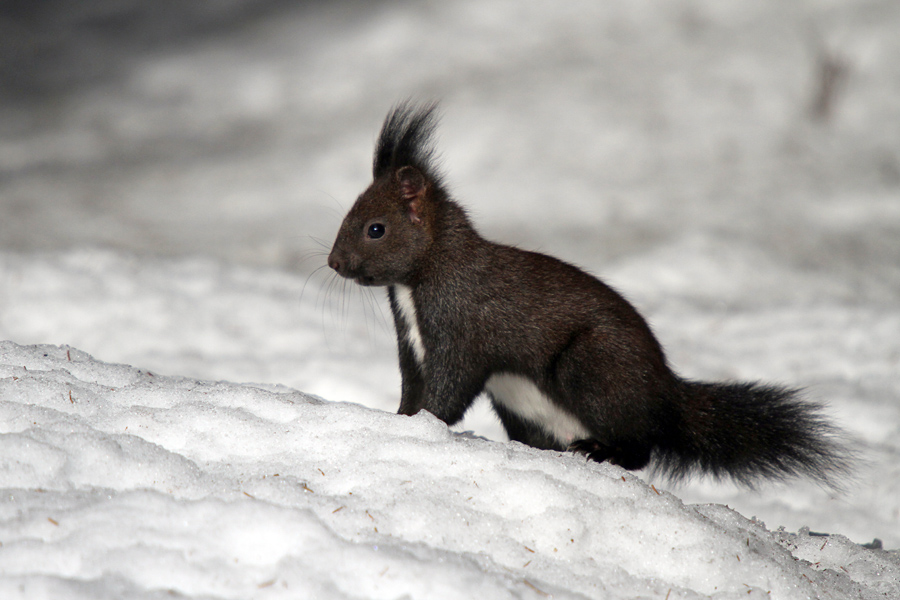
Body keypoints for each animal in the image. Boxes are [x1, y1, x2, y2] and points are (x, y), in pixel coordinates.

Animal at [326, 103, 852, 488]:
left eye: (376, 228)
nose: (333, 263)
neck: (419, 280)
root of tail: (666, 397)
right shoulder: (410, 343)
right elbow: (411, 386)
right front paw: (399, 417)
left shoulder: (462, 330)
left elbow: (447, 390)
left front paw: (422, 423)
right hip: (527, 406)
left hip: (591, 367)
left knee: (640, 447)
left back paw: (603, 452)